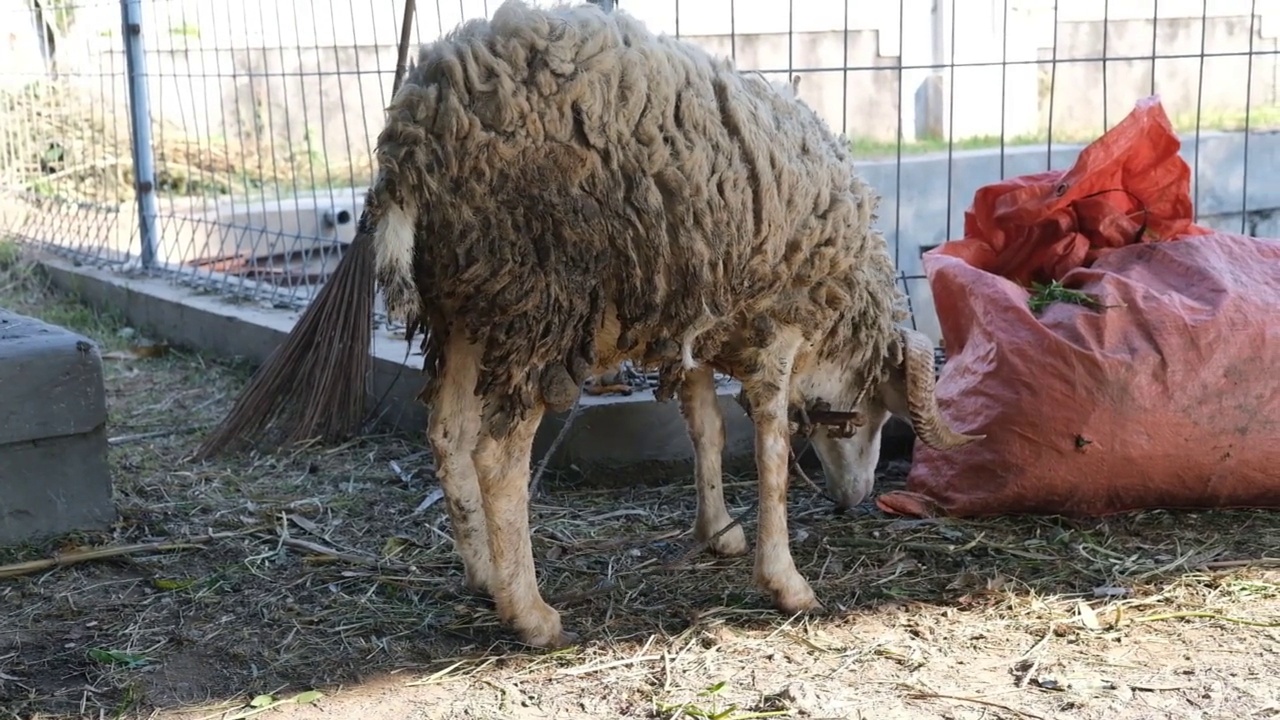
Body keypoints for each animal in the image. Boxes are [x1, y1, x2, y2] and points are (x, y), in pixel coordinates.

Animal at [363, 0, 977, 645]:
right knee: (497, 457)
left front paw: (718, 532)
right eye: (873, 413)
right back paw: (531, 614)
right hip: (542, 300)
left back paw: (485, 576)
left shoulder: (697, 319)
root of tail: (418, 128)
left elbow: (707, 428)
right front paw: (786, 583)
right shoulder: (778, 326)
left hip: (464, 306)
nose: (853, 499)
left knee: (448, 435)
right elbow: (772, 450)